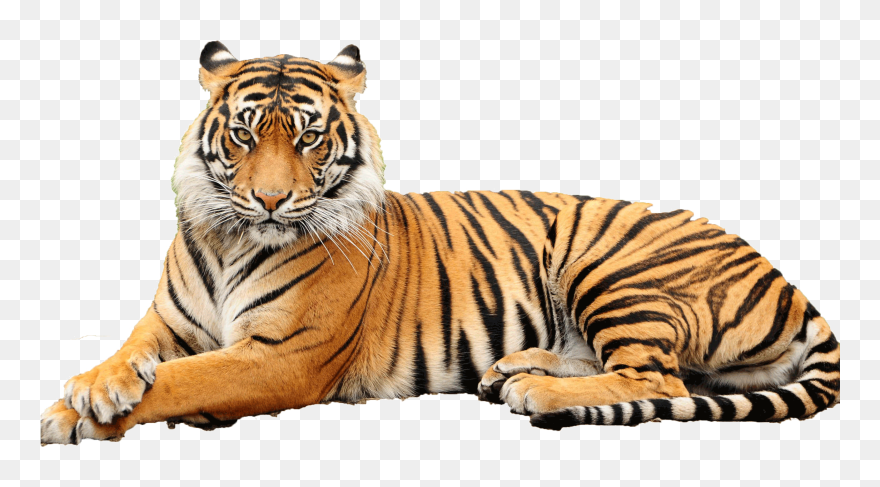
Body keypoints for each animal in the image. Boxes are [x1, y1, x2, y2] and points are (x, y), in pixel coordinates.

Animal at [40, 41, 840, 444]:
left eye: (306, 137)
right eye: (243, 133)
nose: (269, 199)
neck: (232, 237)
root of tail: (790, 282)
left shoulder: (281, 357)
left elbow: (185, 380)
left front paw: (78, 413)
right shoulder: (167, 323)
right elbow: (133, 355)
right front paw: (93, 387)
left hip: (612, 265)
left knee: (660, 379)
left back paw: (536, 390)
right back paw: (513, 369)